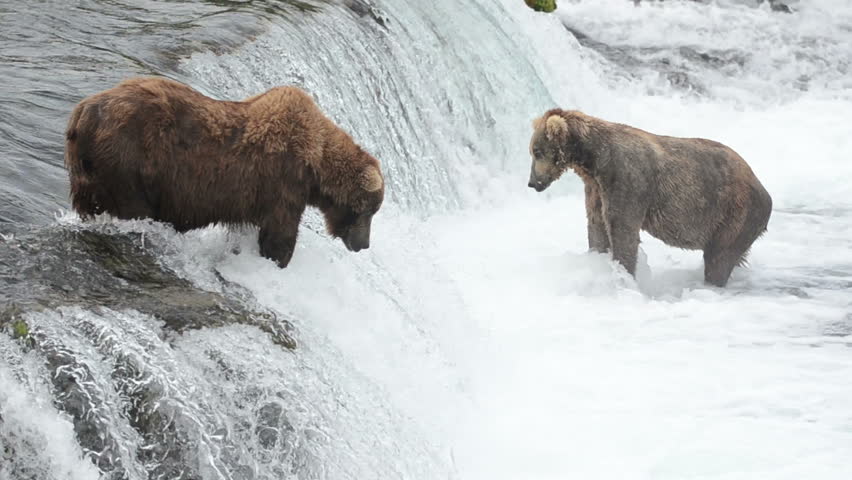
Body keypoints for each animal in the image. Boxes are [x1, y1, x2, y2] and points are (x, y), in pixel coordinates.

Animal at [64, 76, 384, 268]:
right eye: (368, 211)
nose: (364, 244)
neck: (316, 164)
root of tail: (82, 112)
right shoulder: (283, 183)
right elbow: (279, 236)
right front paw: (276, 261)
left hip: (89, 172)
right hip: (129, 160)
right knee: (132, 207)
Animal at [527, 108, 772, 287]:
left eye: (537, 151)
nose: (532, 182)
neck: (594, 160)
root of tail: (762, 187)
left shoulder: (627, 179)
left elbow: (622, 229)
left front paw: (624, 275)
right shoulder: (595, 188)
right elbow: (596, 225)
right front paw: (597, 260)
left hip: (733, 213)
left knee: (719, 257)